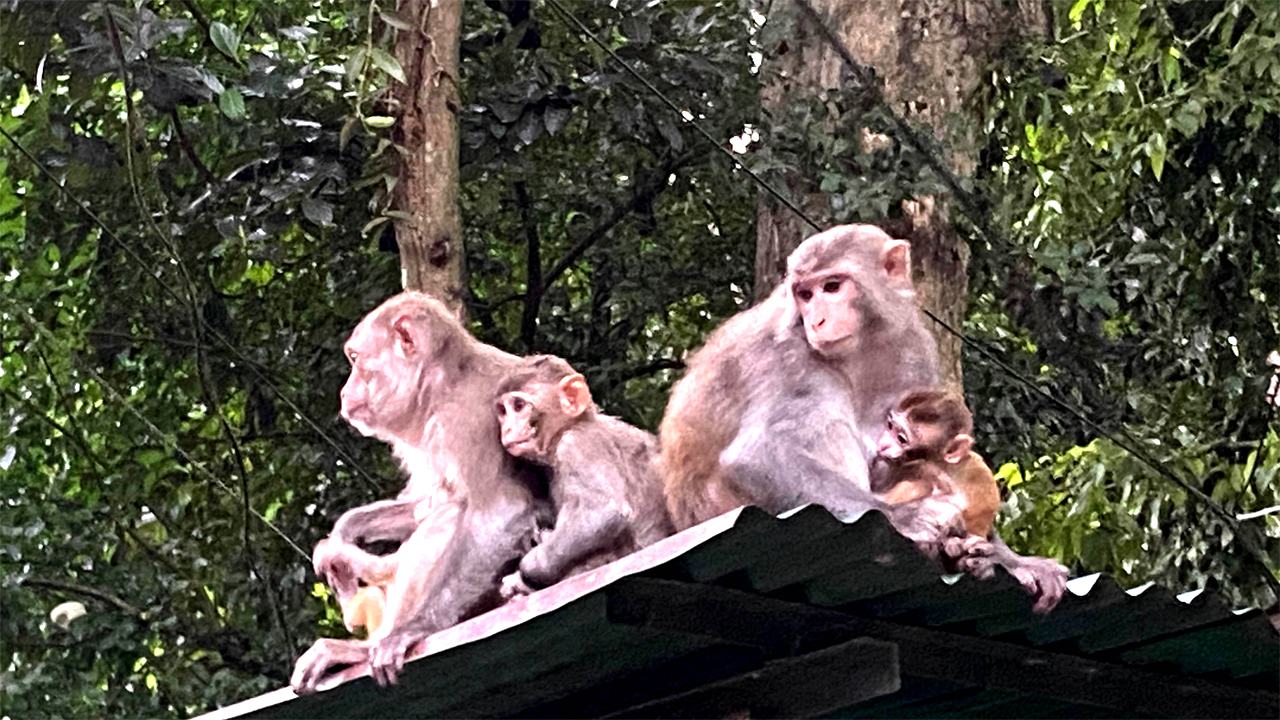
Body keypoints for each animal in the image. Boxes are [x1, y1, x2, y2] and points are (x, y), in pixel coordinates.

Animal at [290, 292, 546, 692]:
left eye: (356, 359)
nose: (345, 391)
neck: (445, 385)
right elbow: (422, 503)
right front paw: (342, 535)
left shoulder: (466, 420)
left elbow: (501, 510)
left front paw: (417, 628)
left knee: (450, 518)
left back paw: (362, 649)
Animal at [492, 355, 673, 597]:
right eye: (503, 411)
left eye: (519, 406)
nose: (508, 429)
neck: (575, 425)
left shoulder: (577, 444)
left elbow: (603, 511)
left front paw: (524, 575)